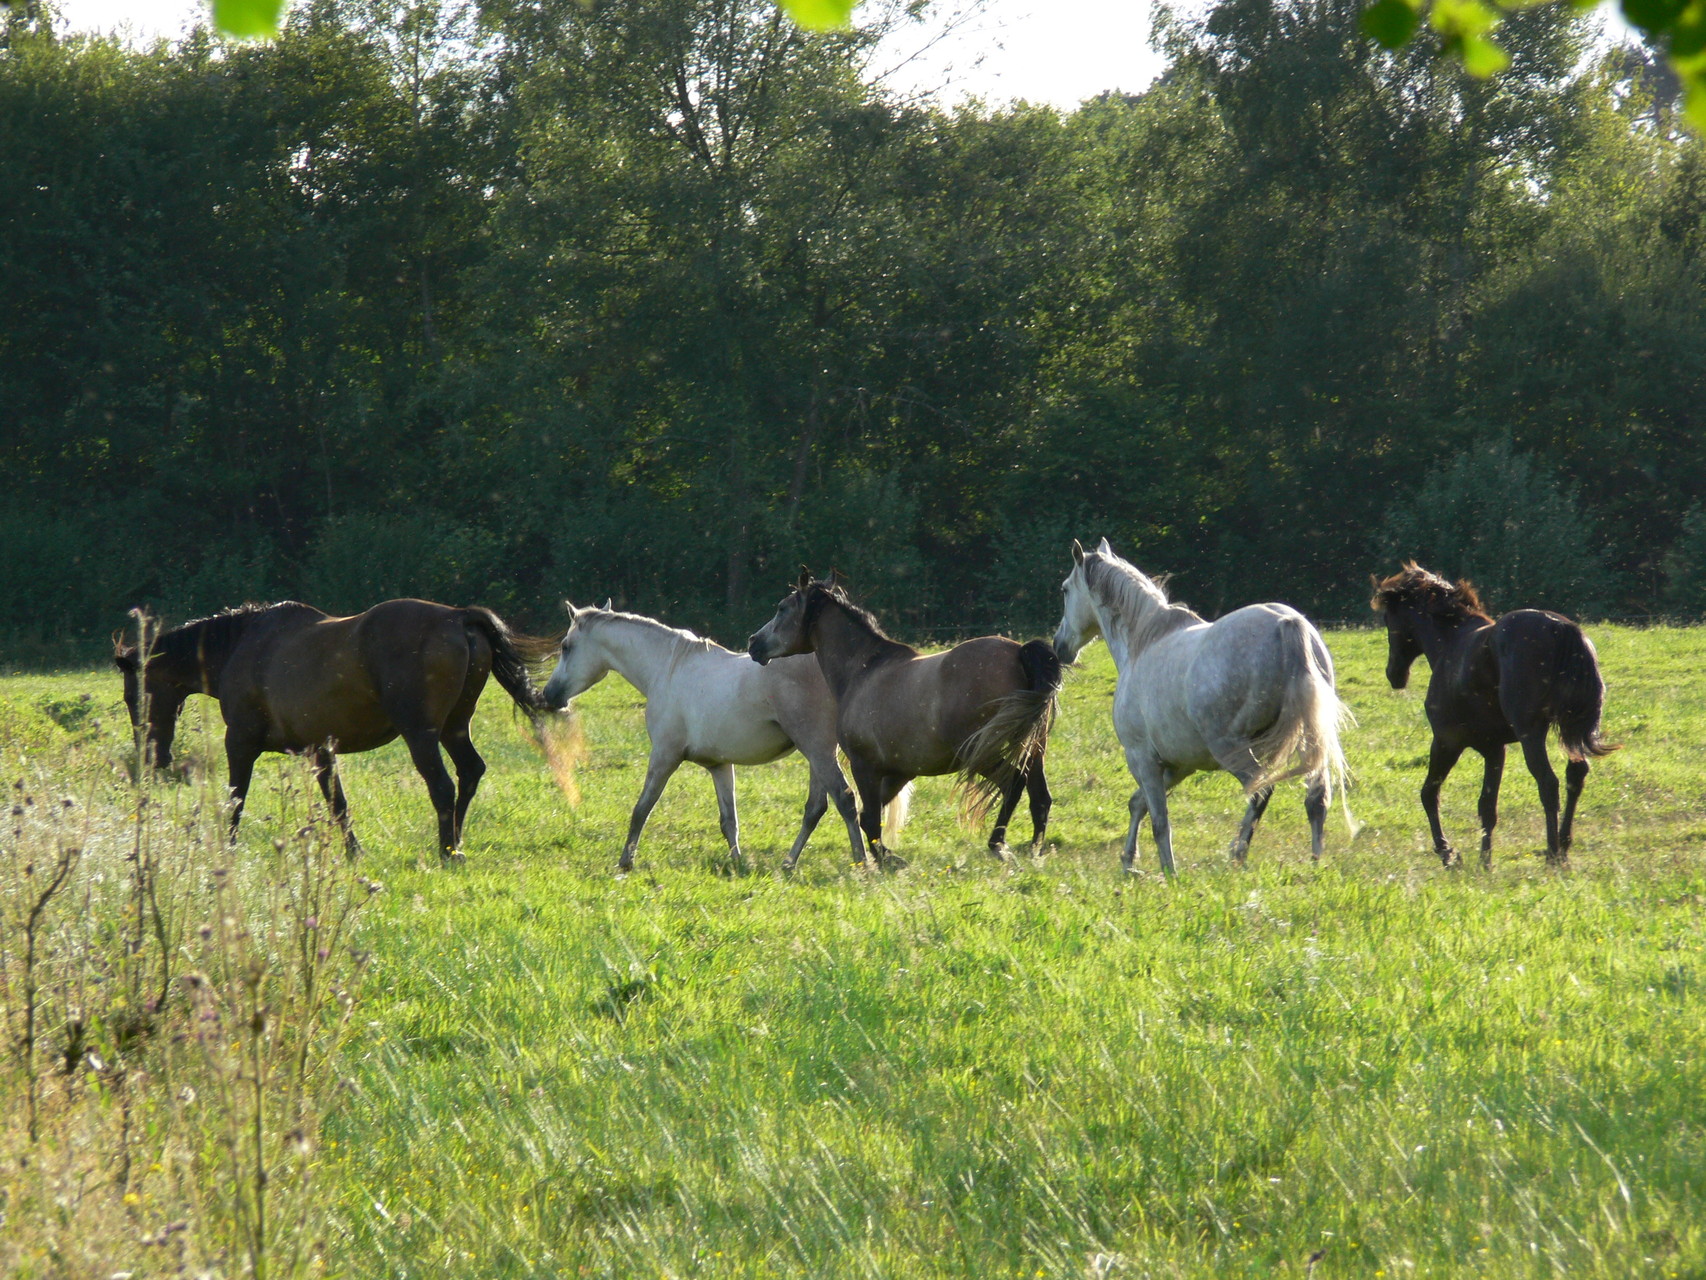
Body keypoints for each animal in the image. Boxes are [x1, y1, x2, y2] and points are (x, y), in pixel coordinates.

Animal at [113, 599, 545, 862]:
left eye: (133, 696)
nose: (153, 758)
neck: (240, 646)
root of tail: (457, 616)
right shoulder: (320, 751)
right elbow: (339, 805)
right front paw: (355, 853)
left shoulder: (239, 742)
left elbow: (236, 798)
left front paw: (227, 849)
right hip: (454, 728)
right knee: (470, 772)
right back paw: (456, 842)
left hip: (421, 735)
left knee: (442, 785)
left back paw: (447, 850)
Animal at [539, 601, 878, 874]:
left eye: (566, 646)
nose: (549, 695)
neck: (669, 669)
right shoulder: (719, 766)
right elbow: (729, 821)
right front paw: (738, 865)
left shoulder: (664, 756)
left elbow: (641, 809)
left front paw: (626, 862)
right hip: (817, 754)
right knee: (815, 808)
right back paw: (789, 863)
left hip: (817, 750)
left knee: (844, 800)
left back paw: (861, 864)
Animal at [746, 573, 1061, 869]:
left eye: (782, 608)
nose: (753, 643)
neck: (864, 670)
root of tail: (1020, 653)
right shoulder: (899, 772)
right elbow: (868, 817)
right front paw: (885, 858)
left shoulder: (865, 767)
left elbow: (868, 819)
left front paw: (884, 862)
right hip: (1034, 748)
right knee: (1040, 798)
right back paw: (1034, 852)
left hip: (982, 752)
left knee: (1013, 783)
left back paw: (998, 846)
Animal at [1052, 538, 1351, 875]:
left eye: (1065, 590)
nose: (1059, 646)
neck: (1142, 644)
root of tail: (1287, 623)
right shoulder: (1179, 764)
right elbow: (1138, 803)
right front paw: (1129, 862)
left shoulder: (1142, 759)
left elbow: (1159, 821)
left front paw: (1169, 874)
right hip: (1308, 741)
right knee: (1317, 798)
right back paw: (1314, 862)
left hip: (1232, 750)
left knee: (1260, 791)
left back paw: (1237, 853)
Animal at [1371, 563, 1616, 868]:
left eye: (1388, 620)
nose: (1394, 675)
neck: (1450, 644)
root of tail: (1562, 628)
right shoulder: (1494, 749)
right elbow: (1487, 806)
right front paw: (1484, 862)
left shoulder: (1446, 741)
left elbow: (1429, 793)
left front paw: (1449, 853)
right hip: (1568, 729)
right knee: (1576, 774)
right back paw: (1564, 846)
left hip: (1531, 734)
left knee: (1548, 783)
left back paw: (1552, 853)